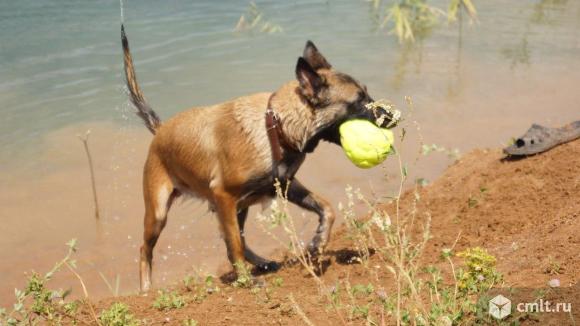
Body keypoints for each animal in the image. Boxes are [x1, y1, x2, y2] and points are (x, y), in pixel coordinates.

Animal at [120, 24, 396, 292]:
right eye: (359, 100)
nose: (393, 116)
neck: (275, 126)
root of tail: (161, 129)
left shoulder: (285, 184)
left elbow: (326, 208)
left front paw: (318, 242)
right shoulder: (224, 195)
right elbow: (234, 246)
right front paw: (245, 281)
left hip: (238, 208)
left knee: (237, 240)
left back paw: (262, 262)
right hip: (159, 213)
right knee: (147, 249)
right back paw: (146, 290)